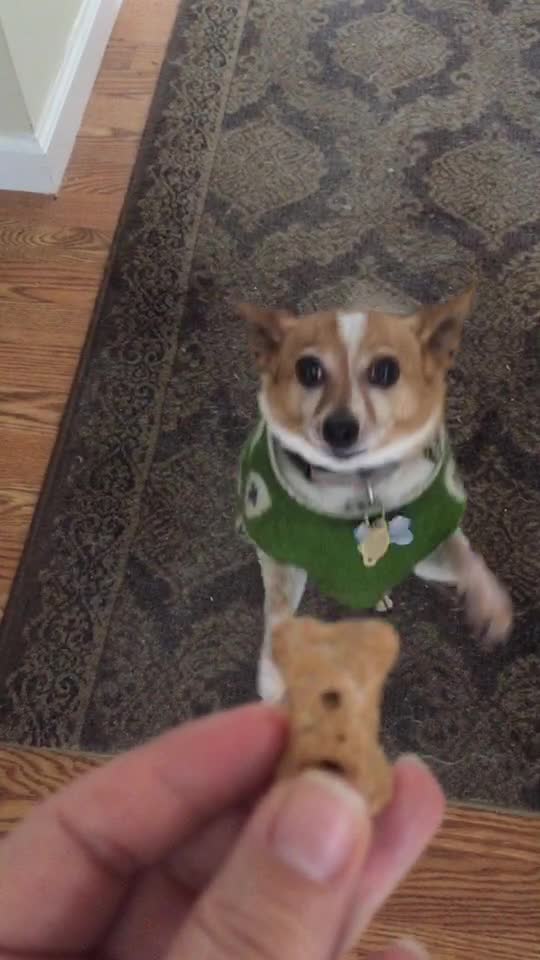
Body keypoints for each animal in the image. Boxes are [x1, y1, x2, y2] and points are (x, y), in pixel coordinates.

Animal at [237, 288, 513, 701]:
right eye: (308, 370)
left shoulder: (432, 551)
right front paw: (272, 673)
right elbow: (279, 611)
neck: (359, 484)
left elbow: (467, 560)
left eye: (386, 371)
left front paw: (491, 603)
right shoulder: (283, 562)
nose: (339, 428)